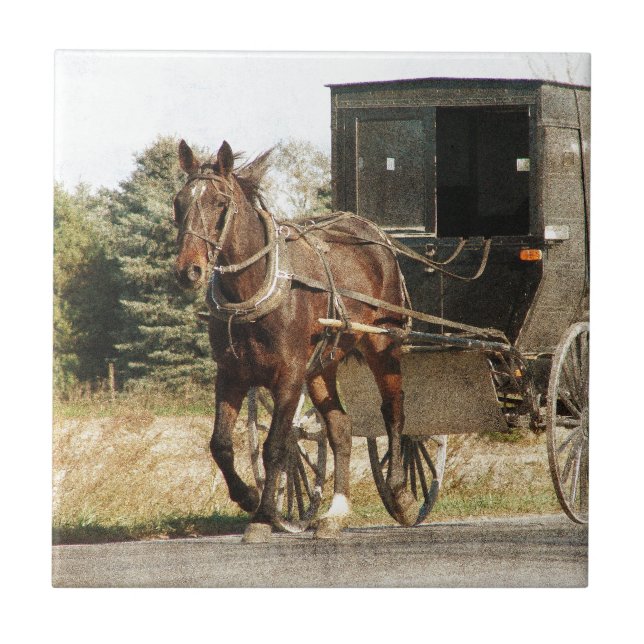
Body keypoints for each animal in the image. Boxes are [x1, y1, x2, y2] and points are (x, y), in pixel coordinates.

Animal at [173, 139, 417, 542]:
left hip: (383, 343)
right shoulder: (231, 375)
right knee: (340, 428)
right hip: (321, 365)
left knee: (394, 409)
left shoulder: (288, 375)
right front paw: (247, 496)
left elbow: (275, 445)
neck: (255, 287)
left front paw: (263, 516)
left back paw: (400, 490)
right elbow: (220, 445)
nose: (188, 270)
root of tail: (376, 236)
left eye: (219, 202)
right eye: (179, 202)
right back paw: (336, 512)